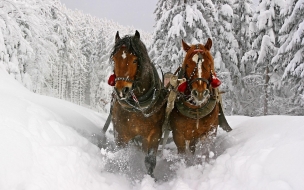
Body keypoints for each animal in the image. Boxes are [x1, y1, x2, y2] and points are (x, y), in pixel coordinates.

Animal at [108, 30, 166, 177]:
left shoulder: (154, 135)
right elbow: (122, 157)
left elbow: (150, 161)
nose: (122, 90)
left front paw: (150, 178)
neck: (137, 107)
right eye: (114, 59)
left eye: (135, 60)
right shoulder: (121, 134)